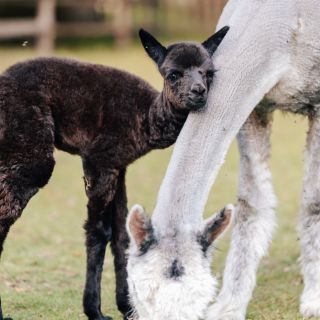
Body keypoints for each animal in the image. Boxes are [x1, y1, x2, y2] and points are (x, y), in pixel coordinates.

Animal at [0, 26, 228, 320]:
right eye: (173, 74)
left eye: (209, 73)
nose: (198, 91)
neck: (146, 120)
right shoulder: (99, 161)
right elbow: (98, 232)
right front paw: (94, 311)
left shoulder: (120, 167)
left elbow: (122, 234)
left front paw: (127, 307)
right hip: (29, 148)